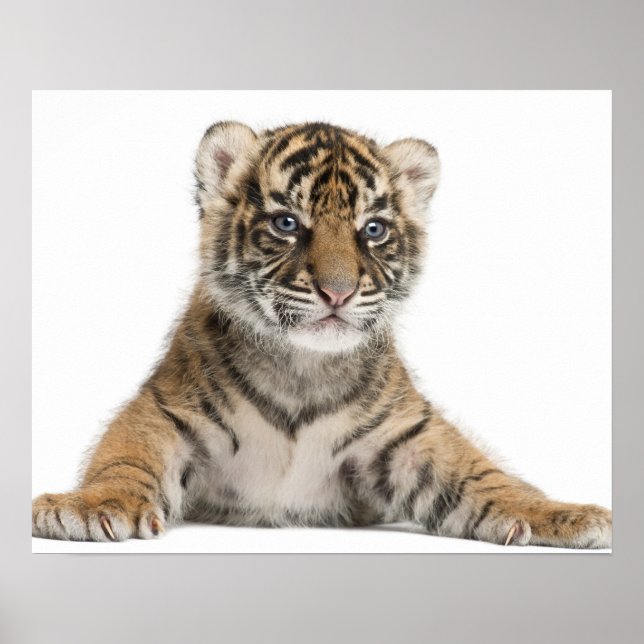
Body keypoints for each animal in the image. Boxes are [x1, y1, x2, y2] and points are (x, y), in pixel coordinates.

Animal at [32, 121, 612, 548]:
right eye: (287, 223)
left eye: (373, 229)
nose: (338, 292)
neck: (303, 367)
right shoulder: (164, 409)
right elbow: (126, 456)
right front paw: (89, 506)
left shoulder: (410, 435)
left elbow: (483, 474)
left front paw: (563, 513)